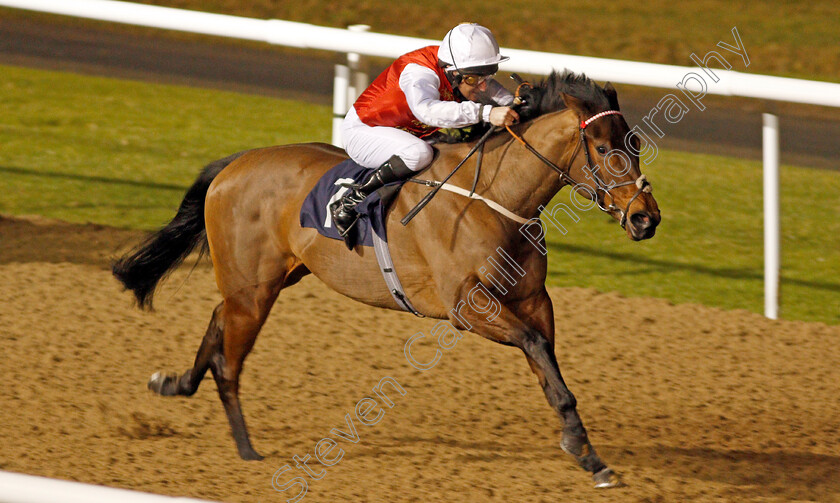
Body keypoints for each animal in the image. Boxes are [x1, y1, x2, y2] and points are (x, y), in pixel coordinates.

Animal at [113, 71, 664, 488]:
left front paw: (588, 454)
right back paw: (246, 449)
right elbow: (533, 345)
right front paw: (581, 448)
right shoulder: (467, 307)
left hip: (267, 279)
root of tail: (235, 163)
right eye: (601, 147)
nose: (646, 219)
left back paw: (175, 383)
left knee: (216, 320)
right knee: (229, 360)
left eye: (634, 142)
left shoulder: (532, 298)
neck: (493, 196)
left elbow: (549, 368)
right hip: (254, 288)